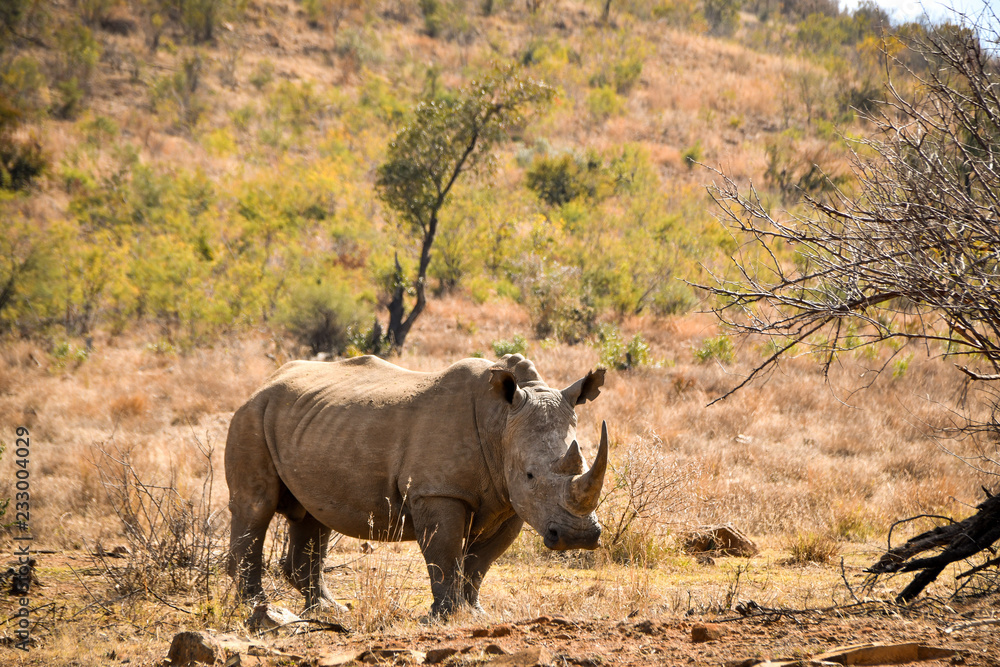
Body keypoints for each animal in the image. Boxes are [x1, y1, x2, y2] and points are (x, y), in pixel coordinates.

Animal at [225, 353, 608, 617]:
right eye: (530, 475)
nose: (578, 537)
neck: (500, 422)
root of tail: (264, 383)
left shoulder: (510, 501)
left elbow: (479, 563)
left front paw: (475, 614)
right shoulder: (438, 491)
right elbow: (445, 554)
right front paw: (447, 616)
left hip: (307, 421)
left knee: (311, 516)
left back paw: (329, 610)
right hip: (251, 416)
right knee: (255, 506)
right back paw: (261, 612)